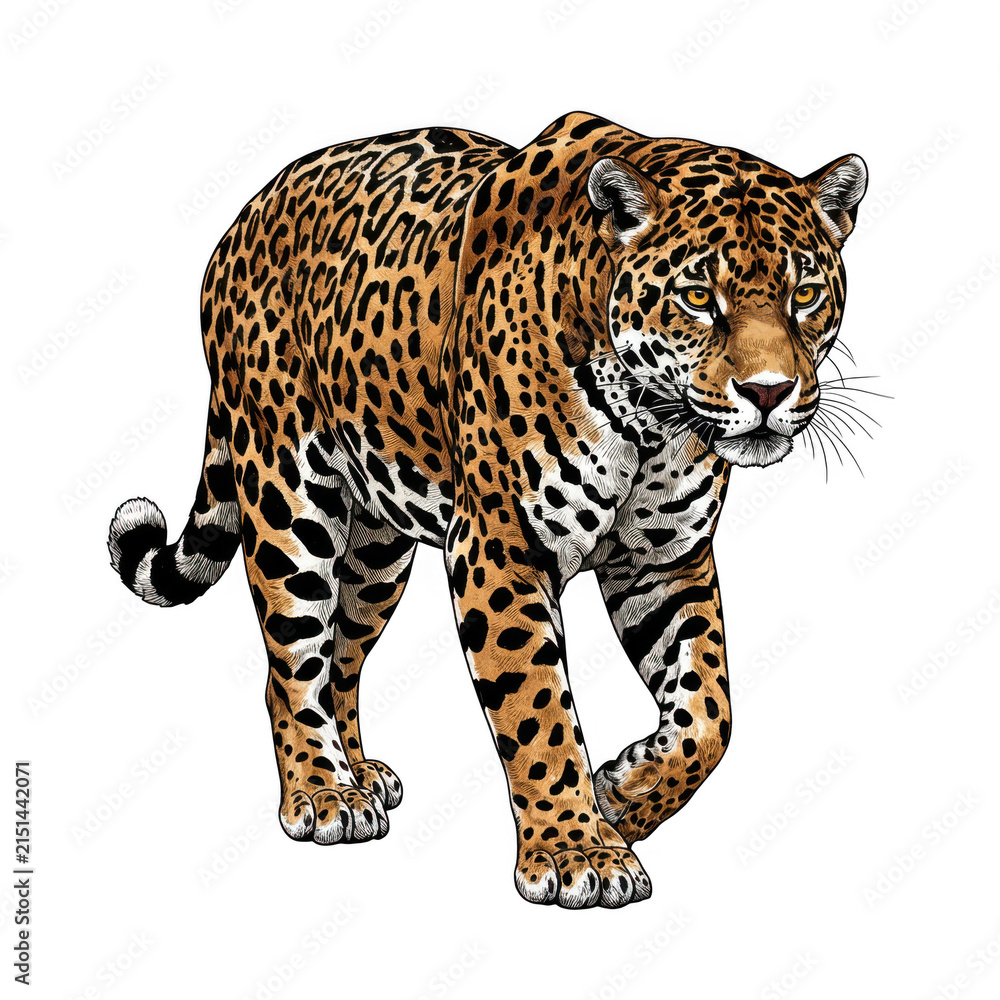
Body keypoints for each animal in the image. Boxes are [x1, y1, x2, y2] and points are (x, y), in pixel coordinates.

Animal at [107, 111, 867, 908]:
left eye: (805, 293)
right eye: (697, 297)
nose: (769, 391)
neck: (653, 423)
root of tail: (245, 217)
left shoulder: (666, 561)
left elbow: (711, 711)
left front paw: (626, 795)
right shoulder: (501, 548)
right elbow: (538, 709)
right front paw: (576, 853)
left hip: (377, 546)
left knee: (341, 654)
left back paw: (361, 774)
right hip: (289, 496)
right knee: (291, 659)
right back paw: (322, 792)